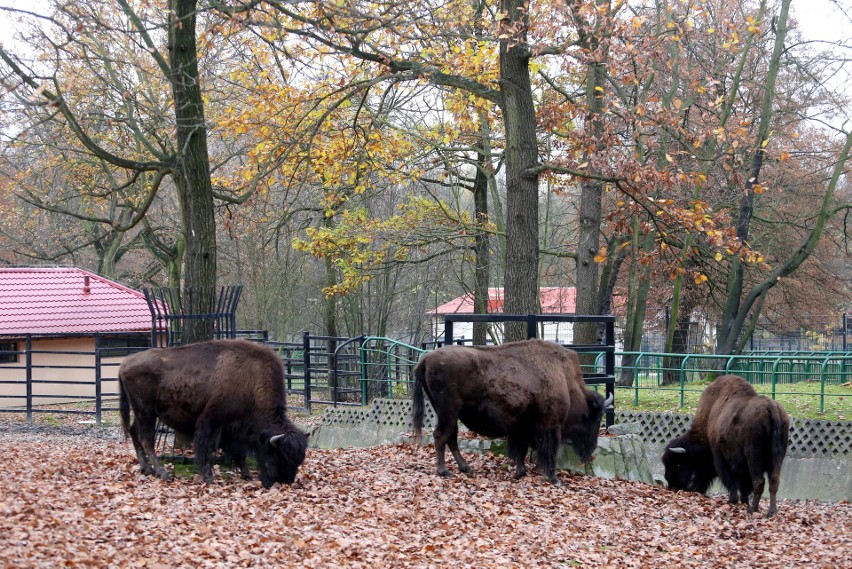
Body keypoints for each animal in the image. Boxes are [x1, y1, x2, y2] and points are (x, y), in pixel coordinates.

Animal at [118, 340, 308, 486]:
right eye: (279, 456)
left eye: (298, 460)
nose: (286, 481)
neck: (252, 384)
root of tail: (125, 363)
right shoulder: (212, 421)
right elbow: (208, 448)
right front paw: (208, 477)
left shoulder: (235, 429)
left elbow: (239, 452)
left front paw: (246, 475)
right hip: (146, 412)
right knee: (146, 440)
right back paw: (163, 473)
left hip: (142, 413)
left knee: (134, 432)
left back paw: (147, 469)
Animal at [412, 338, 612, 484]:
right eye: (596, 417)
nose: (591, 448)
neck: (566, 381)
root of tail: (426, 359)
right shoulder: (551, 426)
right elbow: (549, 451)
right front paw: (554, 479)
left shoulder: (522, 428)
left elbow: (521, 450)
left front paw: (520, 472)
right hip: (449, 411)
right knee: (441, 436)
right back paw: (444, 471)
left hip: (449, 413)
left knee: (450, 437)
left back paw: (466, 468)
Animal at [664, 374, 788, 516]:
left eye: (678, 465)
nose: (672, 485)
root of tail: (771, 407)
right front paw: (743, 501)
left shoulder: (720, 459)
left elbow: (730, 480)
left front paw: (733, 500)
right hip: (778, 457)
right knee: (774, 482)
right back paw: (771, 512)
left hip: (753, 456)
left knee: (759, 482)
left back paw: (753, 509)